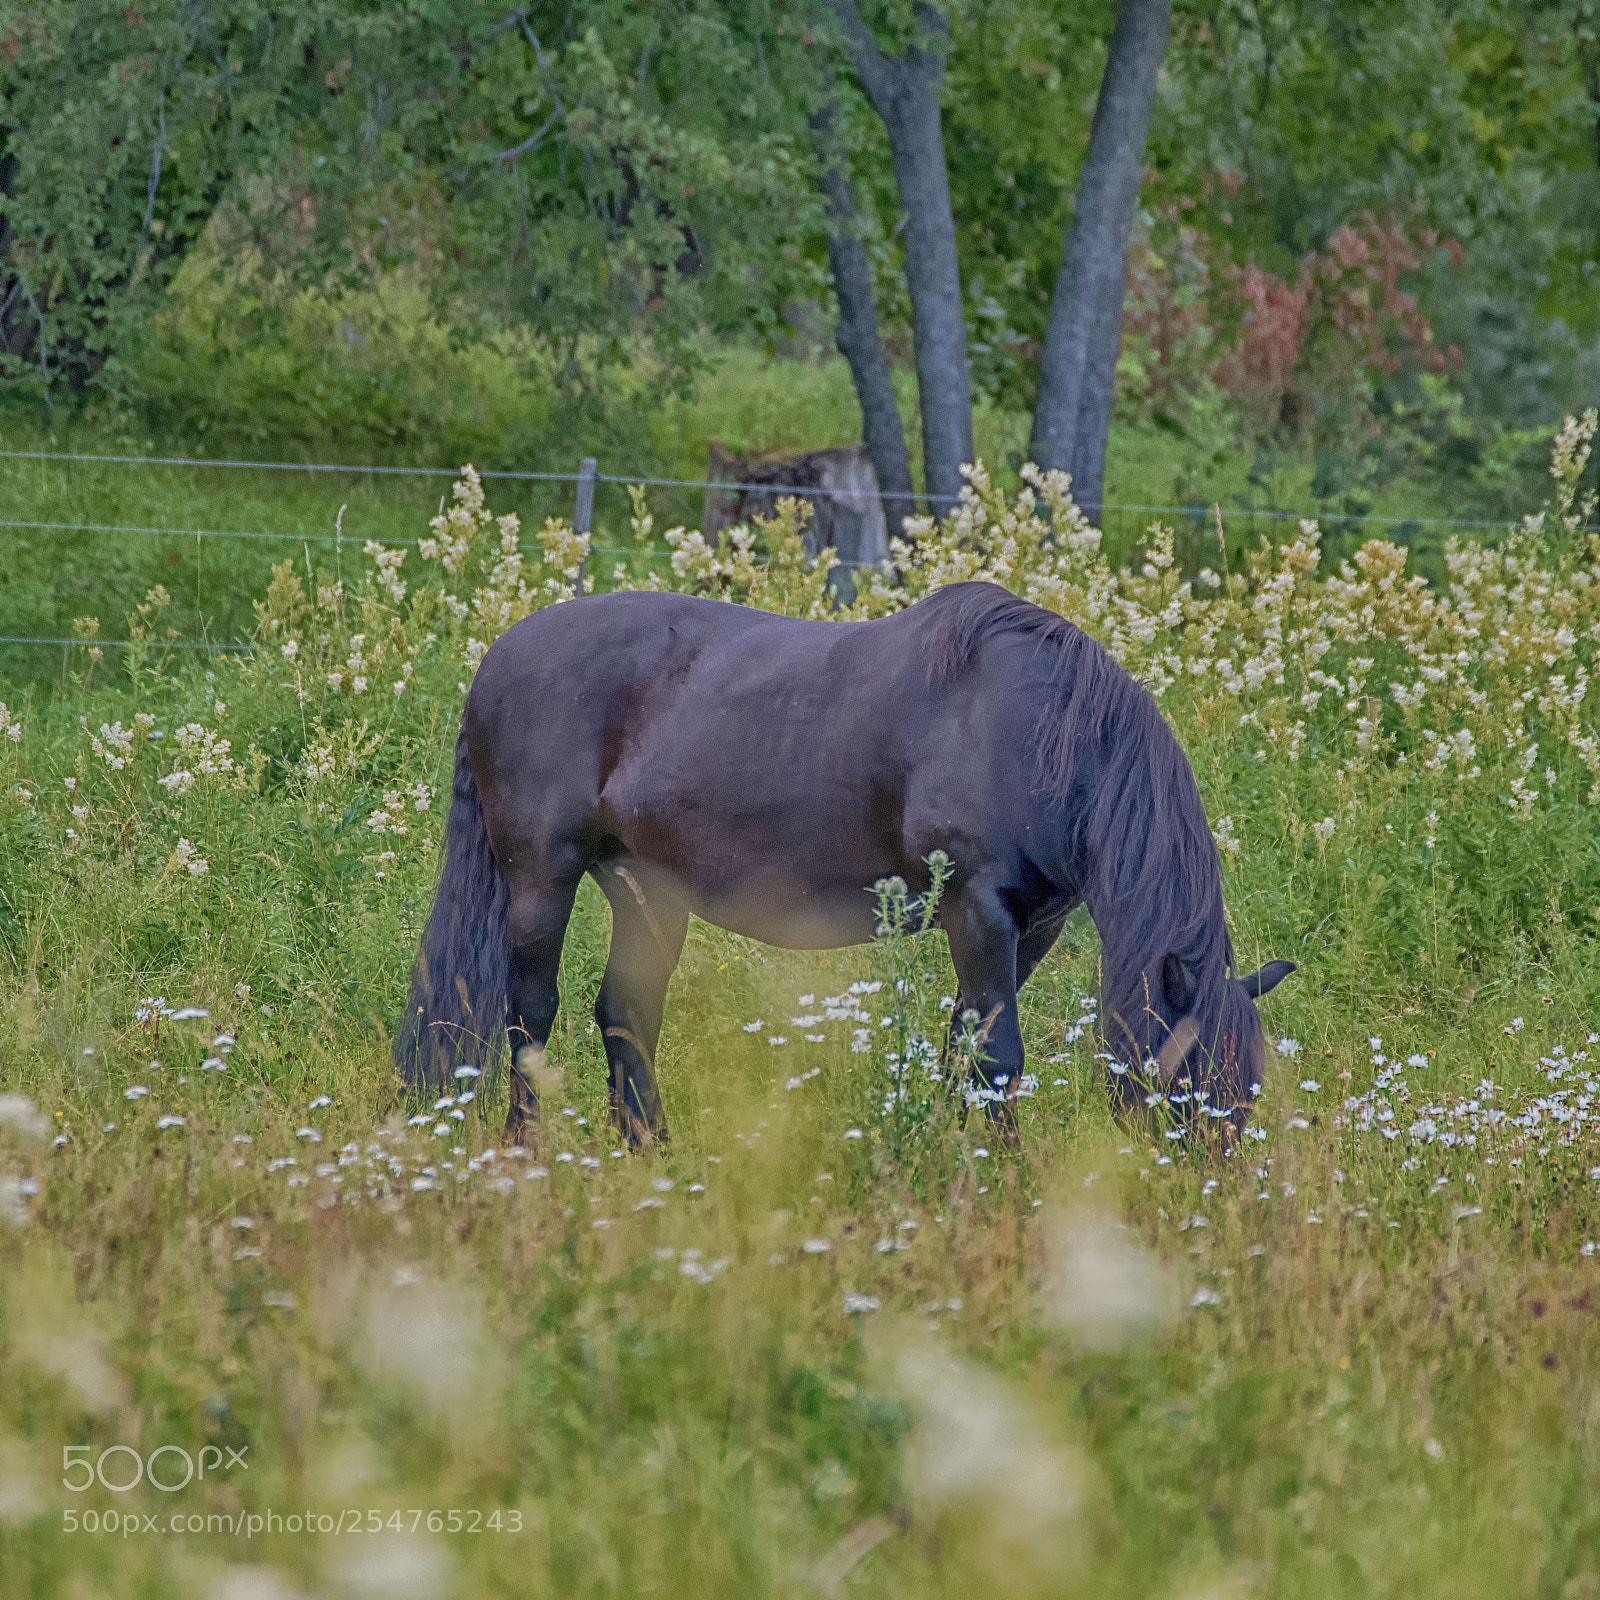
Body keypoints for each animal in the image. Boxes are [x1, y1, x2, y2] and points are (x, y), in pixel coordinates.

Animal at [396, 580, 1294, 1147]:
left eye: (1246, 1089)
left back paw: (652, 1152)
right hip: (539, 878)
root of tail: (497, 657)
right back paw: (528, 1152)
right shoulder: (977, 912)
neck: (1037, 733)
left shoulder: (1029, 929)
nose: (1204, 1203)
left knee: (624, 1014)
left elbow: (963, 1046)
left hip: (647, 893)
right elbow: (997, 1057)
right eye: (1187, 1084)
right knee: (528, 1016)